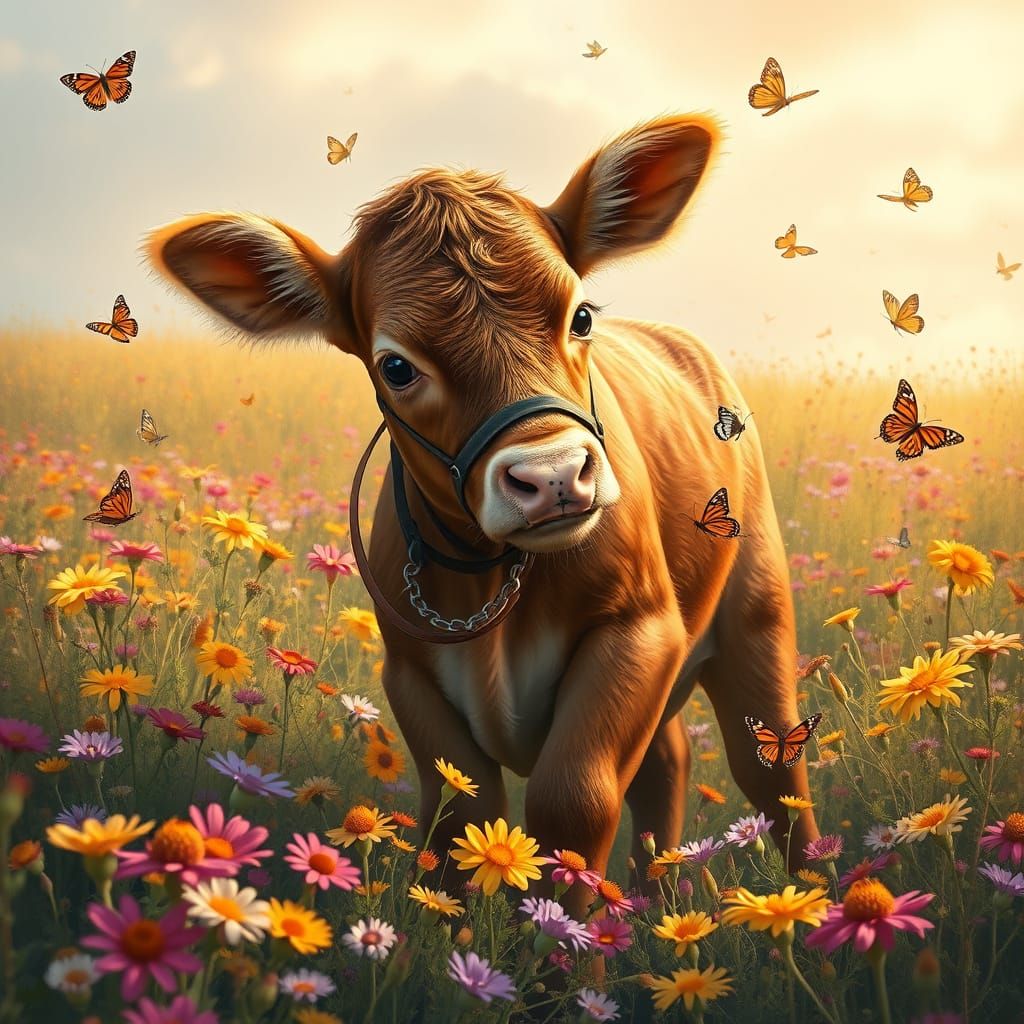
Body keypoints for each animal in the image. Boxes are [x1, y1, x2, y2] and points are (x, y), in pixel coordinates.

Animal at [147, 114, 820, 912]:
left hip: (756, 615)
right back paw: (650, 905)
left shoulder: (641, 629)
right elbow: (459, 812)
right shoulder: (409, 671)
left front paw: (560, 944)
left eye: (580, 315)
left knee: (772, 769)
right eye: (396, 366)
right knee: (670, 760)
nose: (554, 475)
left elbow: (573, 800)